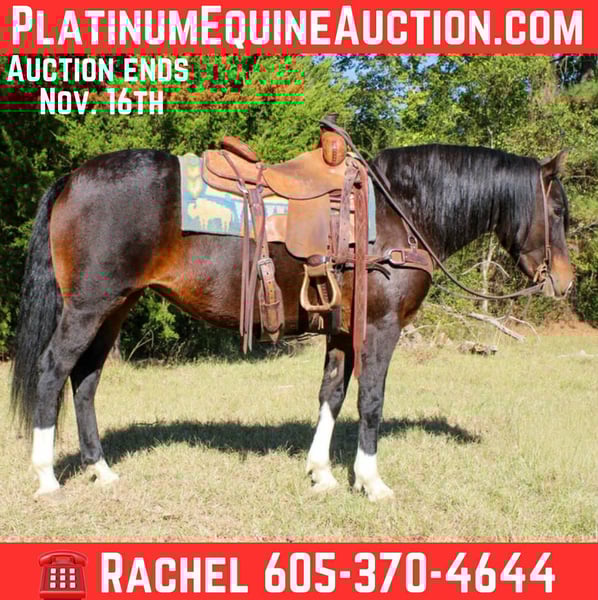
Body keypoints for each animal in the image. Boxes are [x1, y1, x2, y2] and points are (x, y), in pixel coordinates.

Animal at [10, 143, 574, 501]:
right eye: (559, 212)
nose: (566, 282)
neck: (398, 213)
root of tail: (74, 178)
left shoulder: (343, 331)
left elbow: (332, 395)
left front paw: (322, 473)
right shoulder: (380, 328)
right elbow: (371, 401)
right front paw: (370, 482)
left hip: (116, 308)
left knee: (85, 382)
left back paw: (101, 471)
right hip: (89, 307)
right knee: (53, 372)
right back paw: (47, 477)